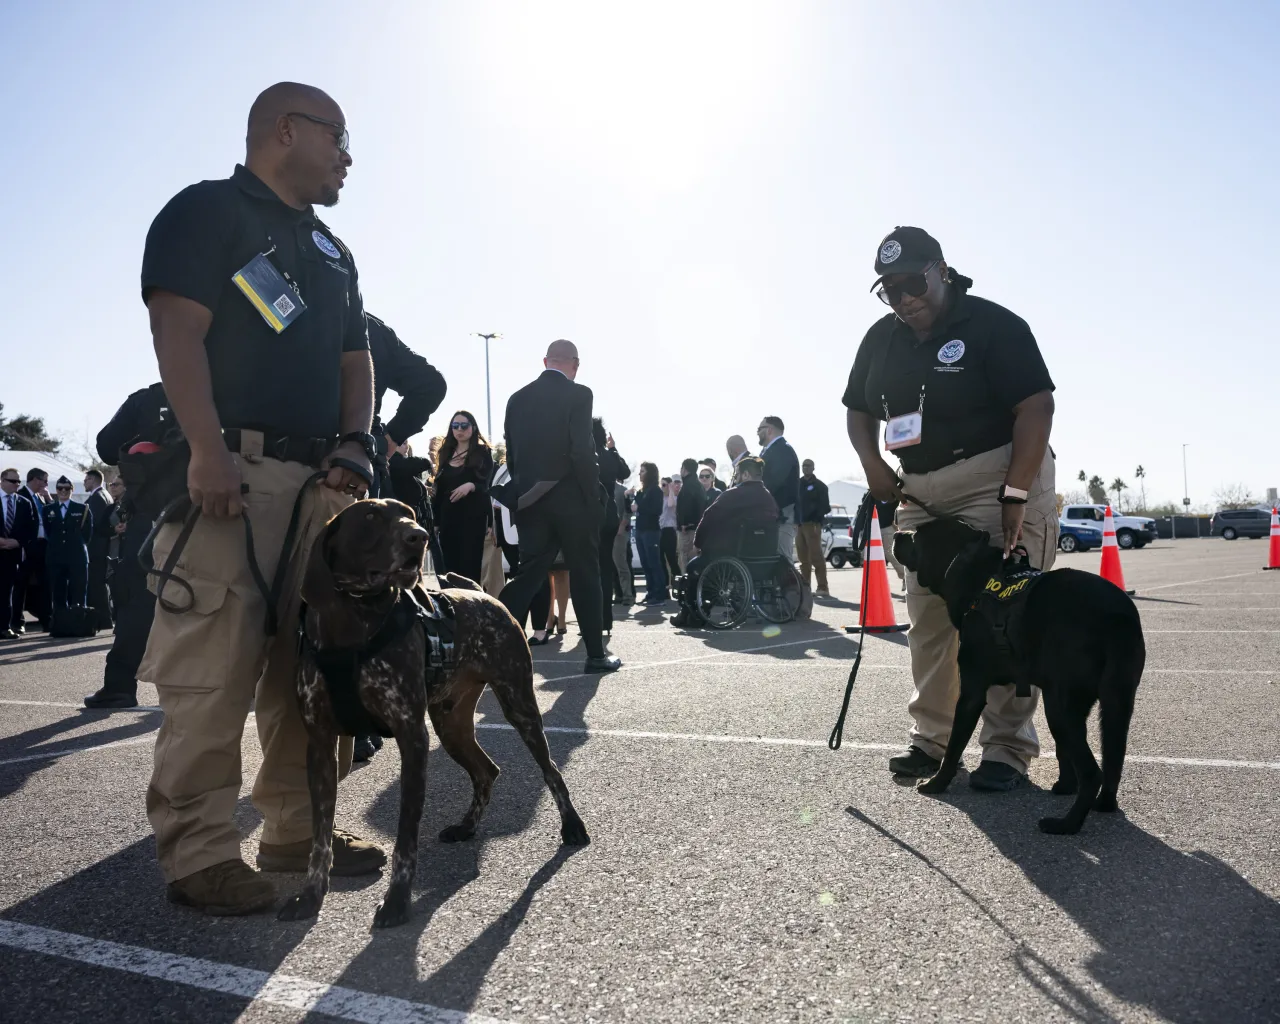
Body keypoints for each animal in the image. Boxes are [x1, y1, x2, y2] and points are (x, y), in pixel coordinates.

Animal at [280, 496, 588, 926]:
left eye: (407, 512)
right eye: (371, 516)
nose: (420, 536)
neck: (354, 624)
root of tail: (483, 594)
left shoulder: (412, 738)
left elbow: (405, 839)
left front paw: (397, 900)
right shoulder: (321, 745)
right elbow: (320, 837)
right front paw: (311, 896)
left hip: (519, 706)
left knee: (551, 771)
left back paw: (572, 827)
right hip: (451, 725)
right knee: (486, 771)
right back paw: (466, 826)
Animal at [890, 519, 1152, 829]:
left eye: (917, 534)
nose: (896, 533)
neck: (974, 572)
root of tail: (1119, 617)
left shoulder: (972, 693)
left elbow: (954, 746)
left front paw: (937, 783)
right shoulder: (1057, 694)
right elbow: (1063, 751)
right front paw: (1065, 786)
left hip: (1063, 708)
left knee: (1092, 772)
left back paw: (1066, 825)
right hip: (1113, 702)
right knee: (1113, 758)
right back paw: (1104, 805)